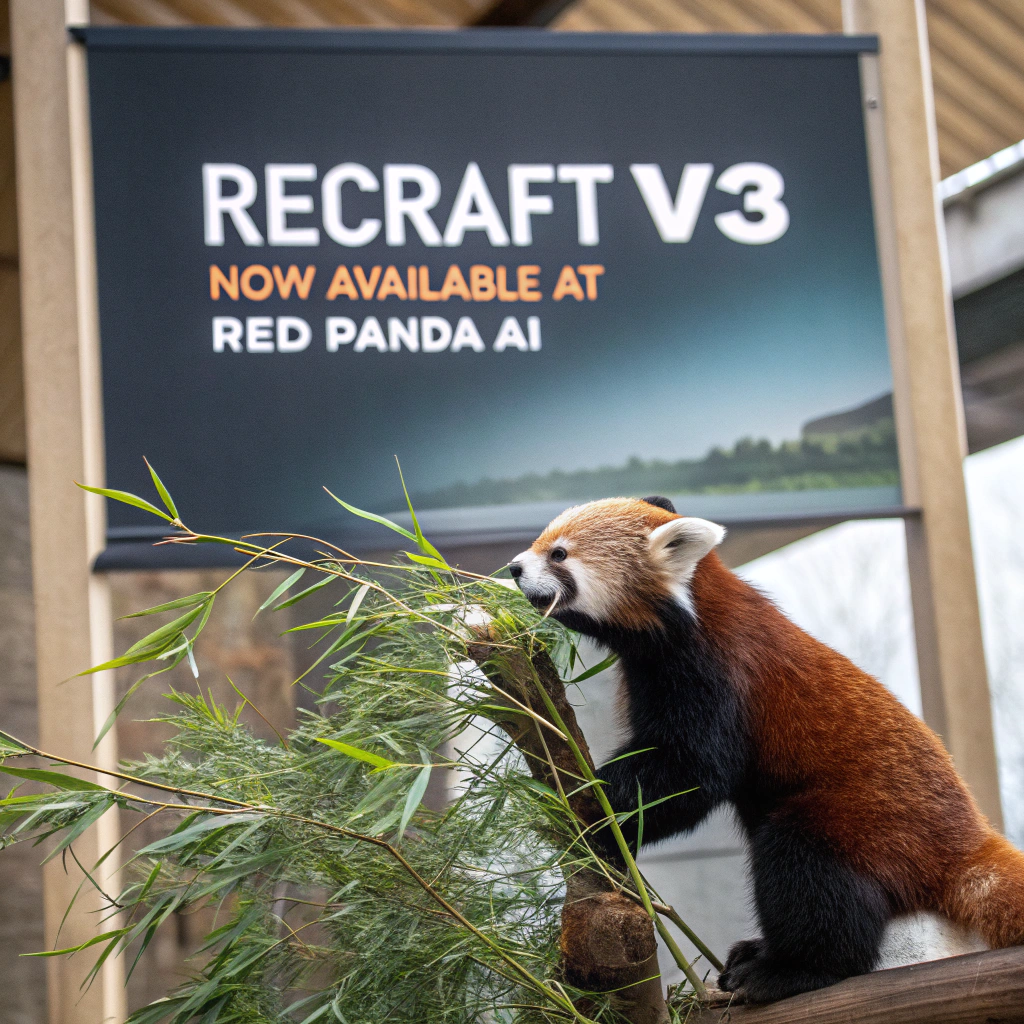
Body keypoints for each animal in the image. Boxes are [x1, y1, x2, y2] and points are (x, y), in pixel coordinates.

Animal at [508, 496, 1023, 1003]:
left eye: (559, 554)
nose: (513, 567)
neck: (693, 612)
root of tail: (966, 842)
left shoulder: (718, 675)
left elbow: (691, 773)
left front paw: (590, 805)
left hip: (863, 823)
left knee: (802, 865)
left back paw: (790, 970)